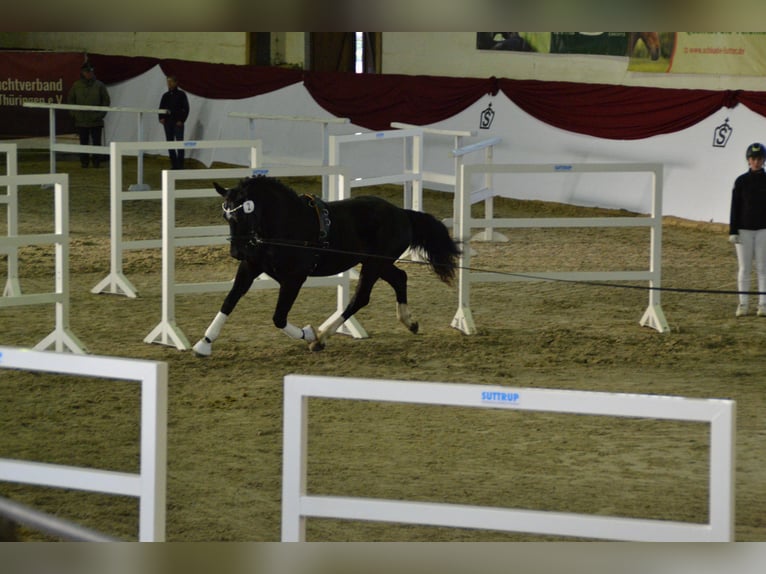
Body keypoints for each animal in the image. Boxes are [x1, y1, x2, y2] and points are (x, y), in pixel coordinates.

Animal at [194, 176, 462, 356]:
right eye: (226, 216)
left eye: (244, 214)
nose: (237, 252)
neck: (286, 226)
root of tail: (402, 212)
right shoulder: (250, 268)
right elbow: (229, 301)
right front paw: (204, 343)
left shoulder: (294, 278)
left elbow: (279, 317)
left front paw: (308, 334)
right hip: (378, 263)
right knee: (400, 278)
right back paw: (410, 322)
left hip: (375, 264)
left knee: (361, 297)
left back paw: (321, 338)